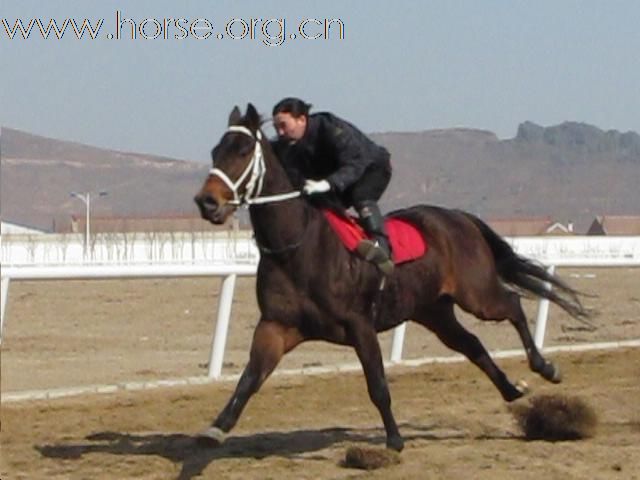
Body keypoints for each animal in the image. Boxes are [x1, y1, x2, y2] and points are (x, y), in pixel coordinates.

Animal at [192, 103, 588, 452]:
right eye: (215, 150)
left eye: (243, 150)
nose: (206, 202)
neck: (297, 247)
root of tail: (460, 217)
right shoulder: (275, 326)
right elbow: (248, 380)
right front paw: (215, 429)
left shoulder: (359, 324)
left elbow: (378, 384)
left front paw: (394, 440)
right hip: (433, 310)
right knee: (473, 344)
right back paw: (511, 391)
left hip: (477, 295)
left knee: (513, 304)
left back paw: (545, 367)